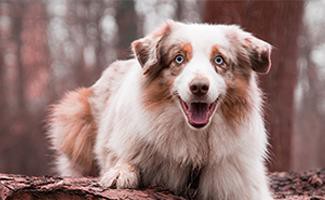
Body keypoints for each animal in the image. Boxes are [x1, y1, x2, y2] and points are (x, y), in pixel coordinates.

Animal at [46, 20, 272, 200]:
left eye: (219, 60)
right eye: (179, 58)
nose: (199, 87)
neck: (195, 143)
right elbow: (124, 158)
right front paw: (120, 173)